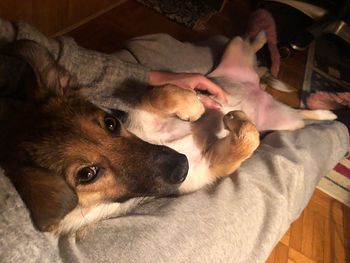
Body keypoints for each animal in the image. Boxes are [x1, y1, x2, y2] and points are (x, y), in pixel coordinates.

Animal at [0, 32, 334, 236]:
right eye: (87, 174)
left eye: (111, 123)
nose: (181, 165)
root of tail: (257, 87)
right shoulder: (214, 165)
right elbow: (248, 138)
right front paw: (232, 116)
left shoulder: (149, 107)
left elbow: (166, 91)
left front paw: (198, 106)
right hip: (284, 122)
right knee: (298, 115)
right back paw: (323, 111)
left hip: (237, 54)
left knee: (249, 45)